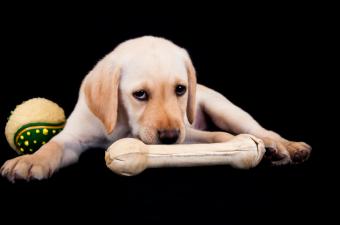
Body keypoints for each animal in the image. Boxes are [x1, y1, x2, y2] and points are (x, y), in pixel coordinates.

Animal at [0, 36, 310, 181]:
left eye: (180, 90)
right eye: (139, 95)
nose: (170, 138)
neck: (123, 124)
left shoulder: (186, 131)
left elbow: (217, 137)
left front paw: (241, 145)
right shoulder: (73, 138)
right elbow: (52, 145)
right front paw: (31, 160)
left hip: (224, 109)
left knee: (260, 130)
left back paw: (284, 147)